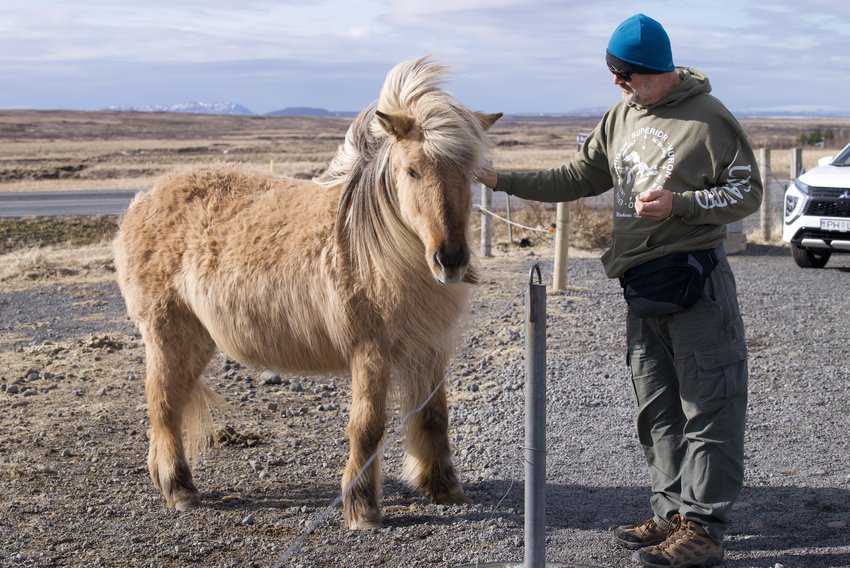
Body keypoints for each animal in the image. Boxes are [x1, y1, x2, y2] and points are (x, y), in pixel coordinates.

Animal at [110, 57, 500, 528]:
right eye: (412, 170)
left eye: (470, 174)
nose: (451, 259)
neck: (383, 248)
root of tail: (140, 202)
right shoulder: (371, 351)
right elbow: (368, 425)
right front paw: (362, 508)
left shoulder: (428, 350)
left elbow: (434, 417)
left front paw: (443, 488)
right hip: (167, 332)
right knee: (164, 403)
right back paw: (179, 488)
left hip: (197, 339)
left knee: (173, 400)